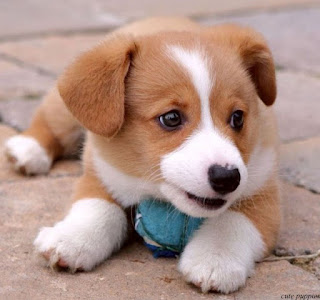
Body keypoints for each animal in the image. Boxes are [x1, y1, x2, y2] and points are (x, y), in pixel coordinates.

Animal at [5, 17, 280, 292]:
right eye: (171, 118)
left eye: (238, 118)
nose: (227, 178)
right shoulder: (100, 171)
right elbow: (97, 207)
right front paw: (71, 239)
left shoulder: (263, 192)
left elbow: (232, 221)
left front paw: (215, 259)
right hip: (65, 113)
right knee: (48, 121)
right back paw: (28, 149)